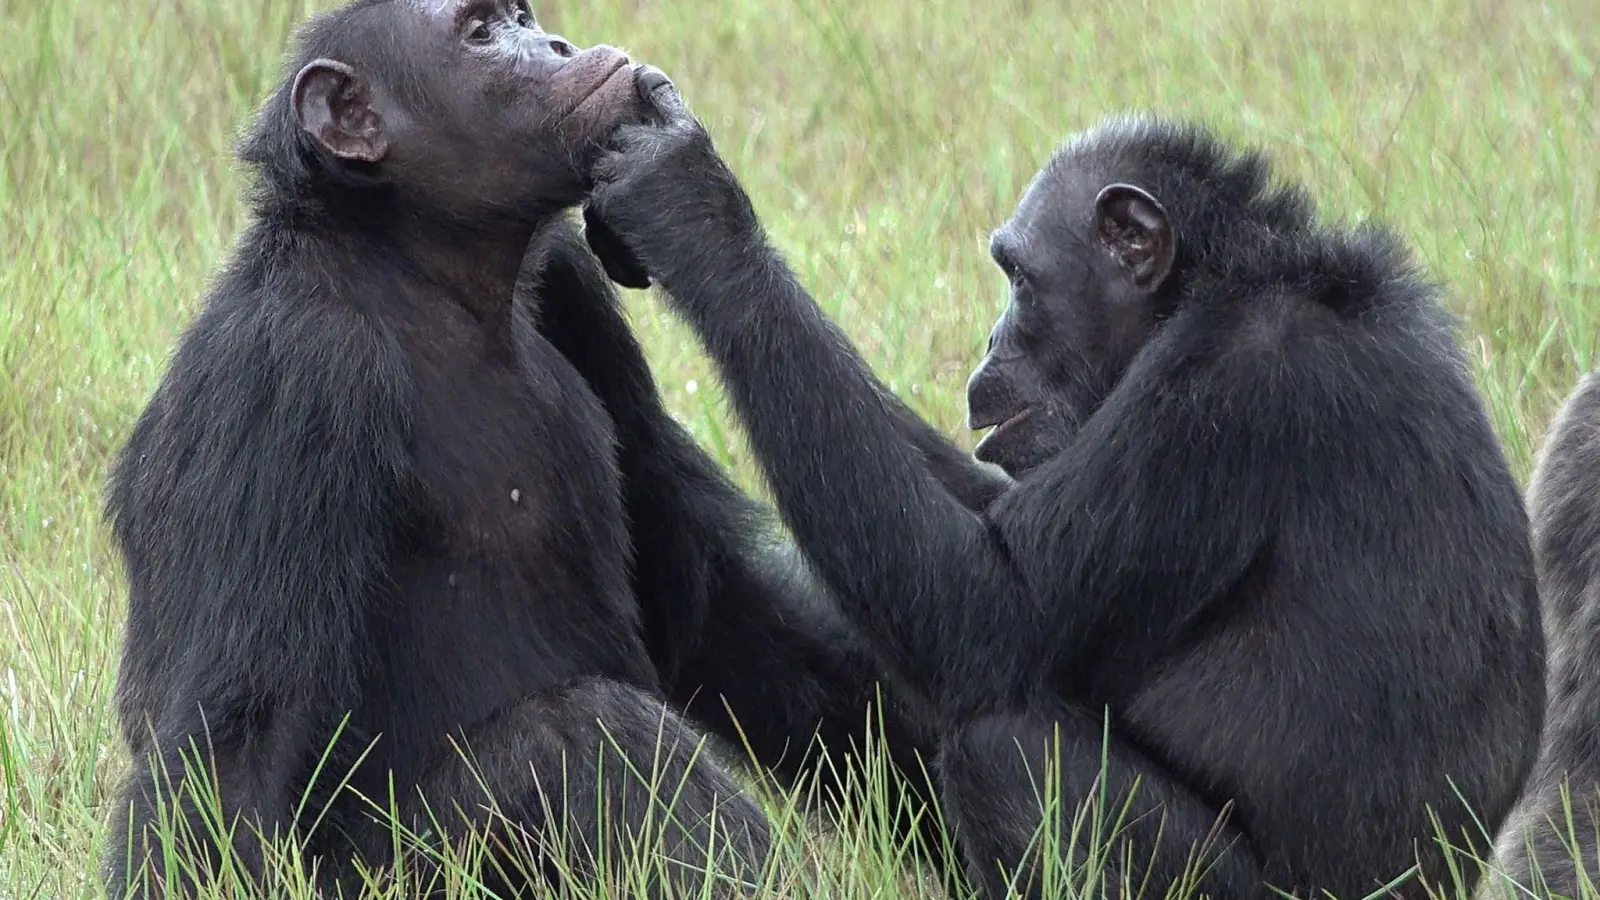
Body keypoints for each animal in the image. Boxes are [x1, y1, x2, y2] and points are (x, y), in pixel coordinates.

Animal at [100, 1, 940, 896]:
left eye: (520, 18)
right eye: (480, 34)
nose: (556, 45)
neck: (421, 269)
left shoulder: (575, 288)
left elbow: (709, 602)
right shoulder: (291, 372)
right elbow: (239, 734)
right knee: (582, 735)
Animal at [585, 78, 1548, 896]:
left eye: (1018, 276)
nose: (989, 341)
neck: (1217, 285)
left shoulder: (1228, 394)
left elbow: (991, 608)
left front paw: (690, 207)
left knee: (1004, 750)